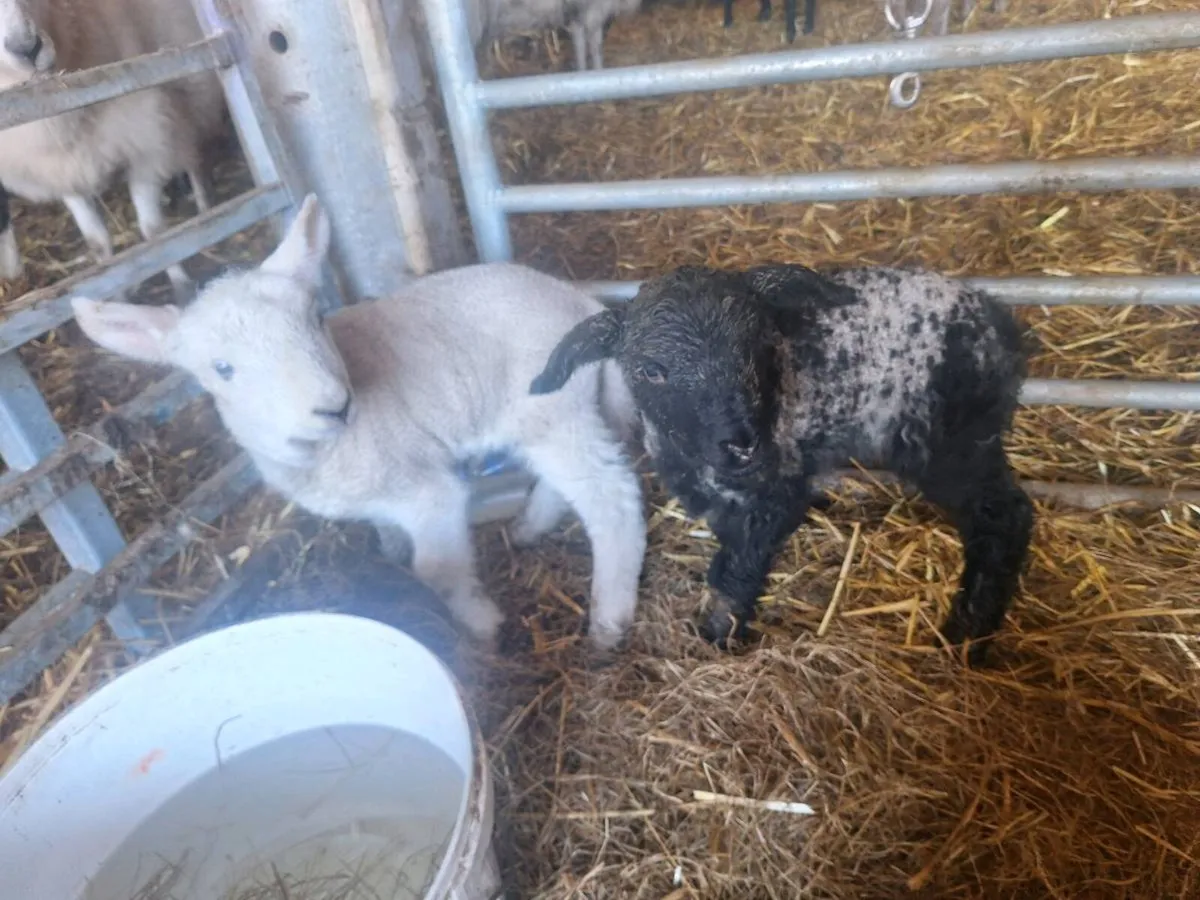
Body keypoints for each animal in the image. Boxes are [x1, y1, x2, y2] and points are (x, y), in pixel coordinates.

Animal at [0, 0, 227, 296]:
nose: (26, 47)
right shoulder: (63, 173)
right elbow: (97, 243)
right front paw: (113, 288)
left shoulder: (147, 145)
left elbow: (154, 231)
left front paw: (181, 284)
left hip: (193, 88)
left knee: (195, 159)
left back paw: (205, 208)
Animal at [71, 194, 648, 651]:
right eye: (223, 369)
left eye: (315, 318)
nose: (333, 405)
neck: (326, 454)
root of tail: (581, 301)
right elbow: (389, 537)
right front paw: (392, 556)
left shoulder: (429, 493)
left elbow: (436, 571)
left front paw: (483, 626)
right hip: (554, 415)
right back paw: (529, 528)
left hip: (552, 415)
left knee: (611, 500)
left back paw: (608, 619)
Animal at [531, 263, 1034, 665]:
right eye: (651, 370)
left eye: (754, 347)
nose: (741, 445)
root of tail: (998, 323)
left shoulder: (779, 491)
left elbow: (735, 569)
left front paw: (718, 634)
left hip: (949, 438)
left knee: (1004, 514)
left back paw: (967, 630)